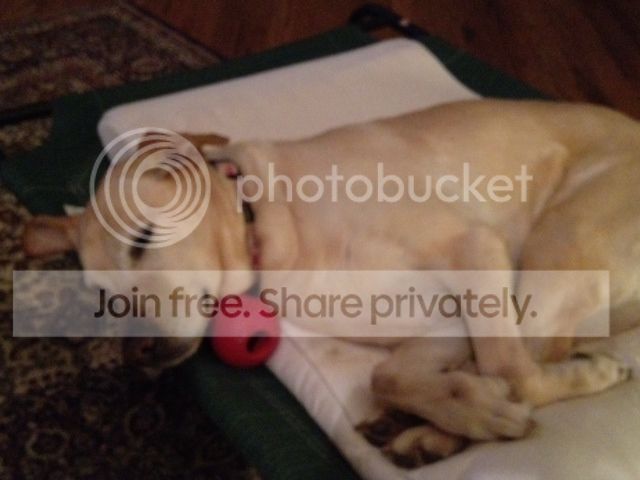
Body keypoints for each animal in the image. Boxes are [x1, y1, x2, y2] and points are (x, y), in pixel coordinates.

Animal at [23, 99, 640, 465]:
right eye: (103, 297)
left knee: (530, 362)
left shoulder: (477, 252)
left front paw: (493, 403)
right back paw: (428, 432)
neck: (265, 223)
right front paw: (453, 407)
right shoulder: (444, 322)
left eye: (144, 238)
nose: (136, 354)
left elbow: (512, 373)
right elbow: (389, 376)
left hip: (557, 246)